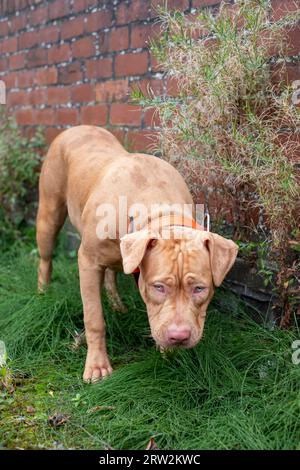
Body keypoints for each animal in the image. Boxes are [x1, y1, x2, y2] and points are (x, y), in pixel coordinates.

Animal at [36, 125, 239, 382]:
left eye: (199, 288)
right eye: (158, 287)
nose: (179, 337)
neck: (159, 211)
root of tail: (78, 127)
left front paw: (168, 354)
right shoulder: (88, 262)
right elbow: (94, 318)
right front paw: (97, 366)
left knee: (111, 272)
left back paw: (117, 305)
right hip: (49, 215)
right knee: (45, 259)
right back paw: (43, 292)